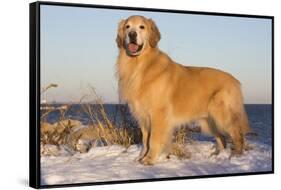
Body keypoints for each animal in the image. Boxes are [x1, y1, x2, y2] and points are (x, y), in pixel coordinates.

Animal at [115, 15, 248, 166]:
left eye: (141, 27)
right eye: (127, 26)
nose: (132, 34)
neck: (142, 65)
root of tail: (235, 80)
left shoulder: (158, 114)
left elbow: (153, 140)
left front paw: (150, 159)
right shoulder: (143, 116)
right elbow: (145, 140)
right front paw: (142, 156)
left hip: (222, 116)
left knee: (238, 135)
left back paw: (236, 157)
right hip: (209, 121)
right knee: (222, 139)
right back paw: (217, 155)